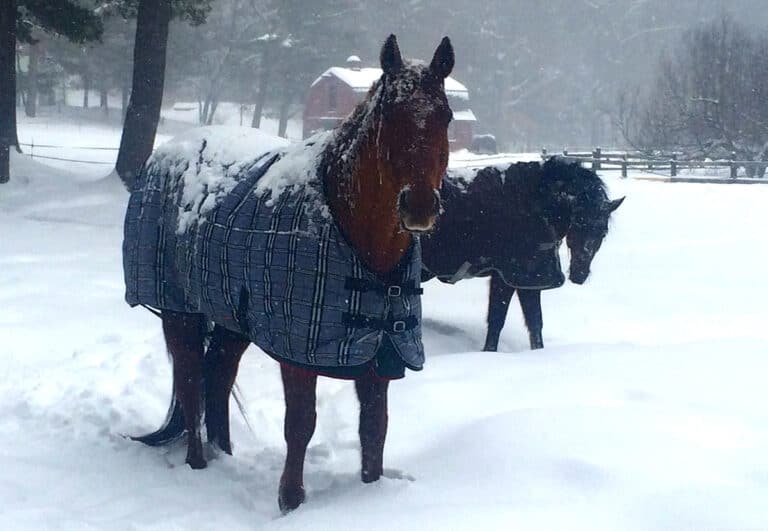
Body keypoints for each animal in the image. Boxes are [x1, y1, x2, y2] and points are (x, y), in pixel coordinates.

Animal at [122, 34, 455, 513]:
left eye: (445, 115)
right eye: (389, 115)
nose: (421, 207)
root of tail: (166, 152)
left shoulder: (383, 353)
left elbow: (374, 430)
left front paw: (371, 495)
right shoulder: (299, 356)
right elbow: (300, 425)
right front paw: (291, 502)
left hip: (232, 321)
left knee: (217, 377)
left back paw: (225, 455)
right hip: (178, 310)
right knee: (189, 382)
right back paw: (198, 465)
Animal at [420, 157, 624, 351]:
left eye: (602, 232)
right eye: (579, 222)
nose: (579, 275)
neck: (532, 202)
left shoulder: (525, 280)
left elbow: (534, 323)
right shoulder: (510, 277)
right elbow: (497, 321)